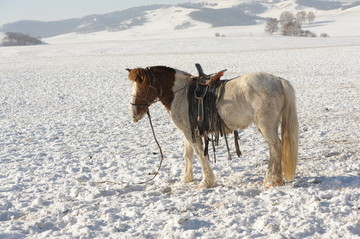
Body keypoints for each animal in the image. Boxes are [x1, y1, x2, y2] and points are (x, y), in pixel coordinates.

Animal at [126, 66, 298, 189]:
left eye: (141, 87)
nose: (133, 114)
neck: (180, 95)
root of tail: (278, 80)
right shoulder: (188, 131)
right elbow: (188, 154)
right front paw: (187, 178)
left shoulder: (191, 132)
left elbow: (200, 154)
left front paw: (206, 182)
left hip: (266, 125)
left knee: (275, 147)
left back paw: (272, 180)